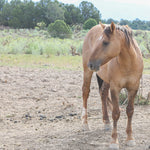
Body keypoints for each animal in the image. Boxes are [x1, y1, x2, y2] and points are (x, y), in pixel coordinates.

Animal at [81, 21, 144, 149]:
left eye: (105, 42)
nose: (91, 64)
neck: (128, 64)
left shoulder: (133, 88)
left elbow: (130, 111)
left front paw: (130, 138)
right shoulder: (115, 88)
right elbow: (115, 113)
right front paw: (114, 141)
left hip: (105, 80)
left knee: (103, 94)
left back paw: (106, 122)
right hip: (87, 72)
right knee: (85, 92)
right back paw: (85, 124)